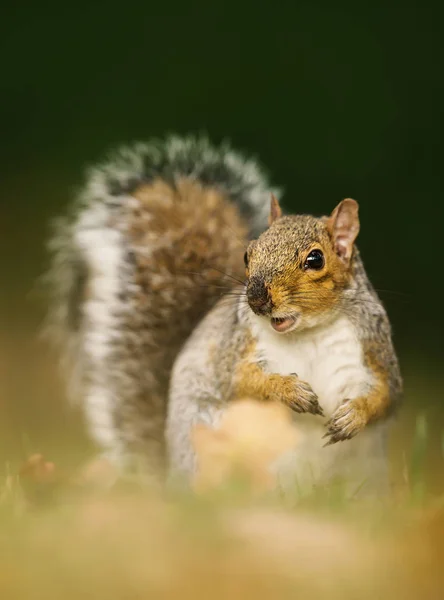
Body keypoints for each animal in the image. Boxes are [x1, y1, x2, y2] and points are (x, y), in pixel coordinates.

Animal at [47, 136, 402, 496]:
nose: (256, 298)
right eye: (248, 254)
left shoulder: (375, 347)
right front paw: (290, 390)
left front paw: (353, 416)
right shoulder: (235, 346)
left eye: (315, 259)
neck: (308, 332)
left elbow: (388, 395)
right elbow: (237, 381)